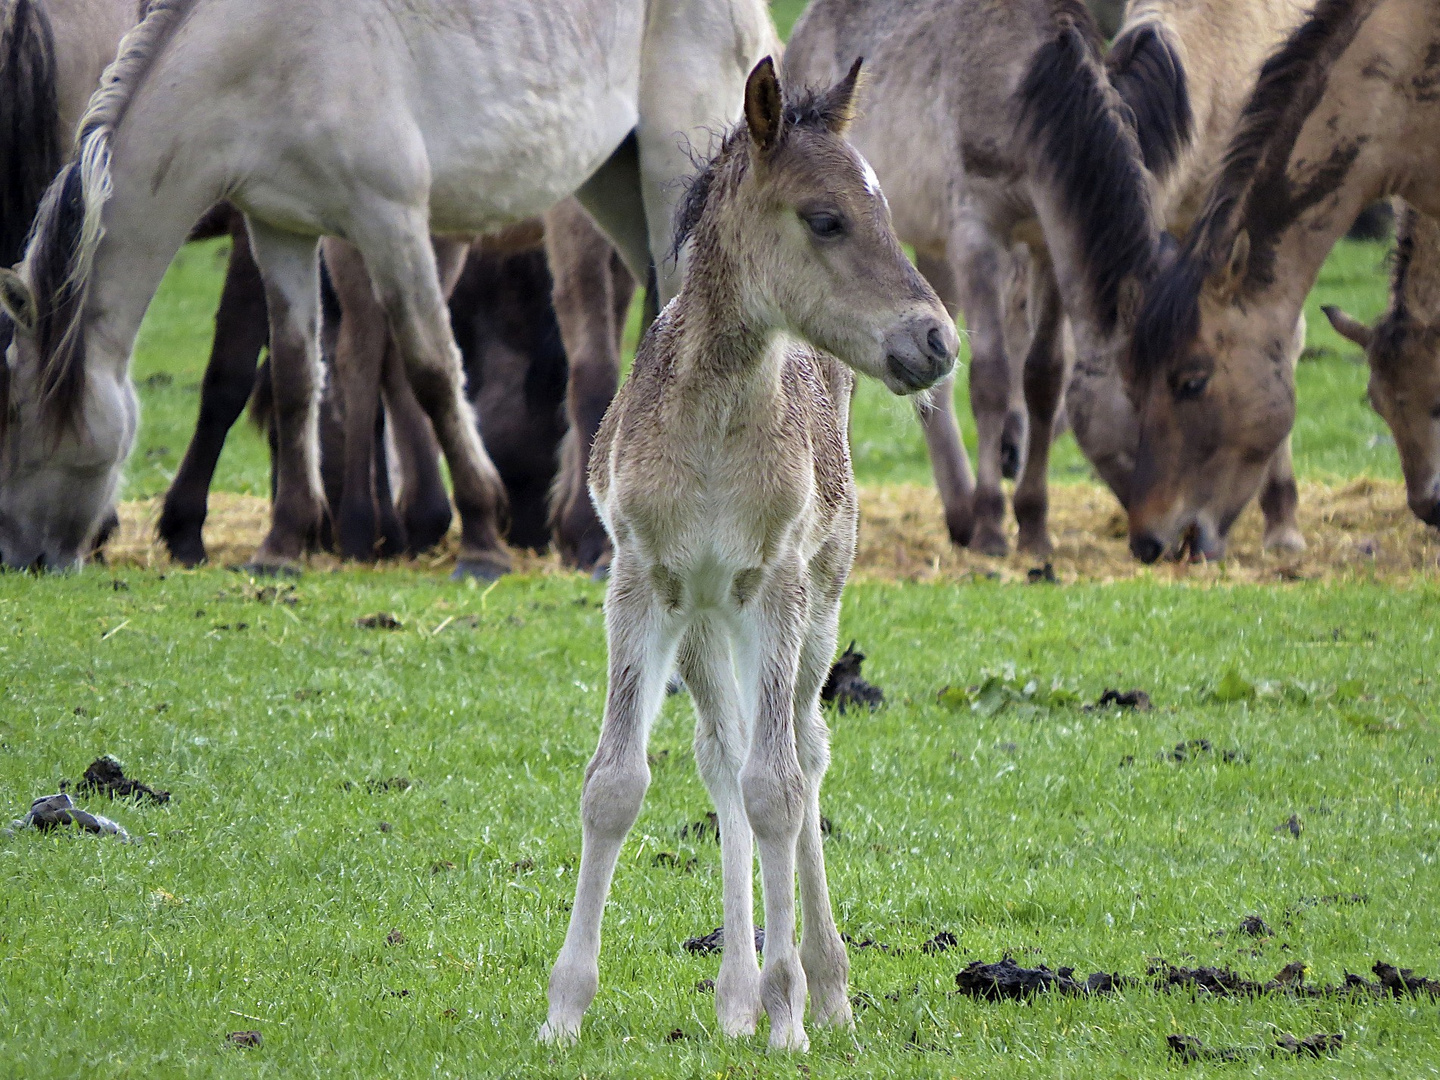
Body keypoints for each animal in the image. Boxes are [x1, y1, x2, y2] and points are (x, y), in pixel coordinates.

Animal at [0, 0, 777, 576]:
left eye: (11, 416)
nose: (20, 559)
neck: (269, 50)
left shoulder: (390, 219)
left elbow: (432, 370)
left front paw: (482, 542)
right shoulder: (279, 230)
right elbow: (294, 379)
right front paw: (281, 546)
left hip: (667, 170)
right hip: (613, 183)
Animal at [541, 55, 956, 1054]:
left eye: (887, 209)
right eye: (826, 217)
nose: (938, 339)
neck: (711, 431)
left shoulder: (776, 588)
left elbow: (779, 789)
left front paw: (789, 1016)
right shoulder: (639, 583)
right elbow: (616, 784)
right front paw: (565, 1009)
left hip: (818, 601)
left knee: (802, 752)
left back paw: (823, 987)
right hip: (703, 620)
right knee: (721, 753)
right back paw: (734, 994)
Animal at [783, 0, 1163, 558]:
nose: (1186, 539)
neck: (1025, 88)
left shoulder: (1043, 241)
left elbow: (1044, 378)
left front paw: (1034, 528)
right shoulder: (976, 236)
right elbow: (990, 379)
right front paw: (991, 527)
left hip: (928, 252)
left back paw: (958, 511)